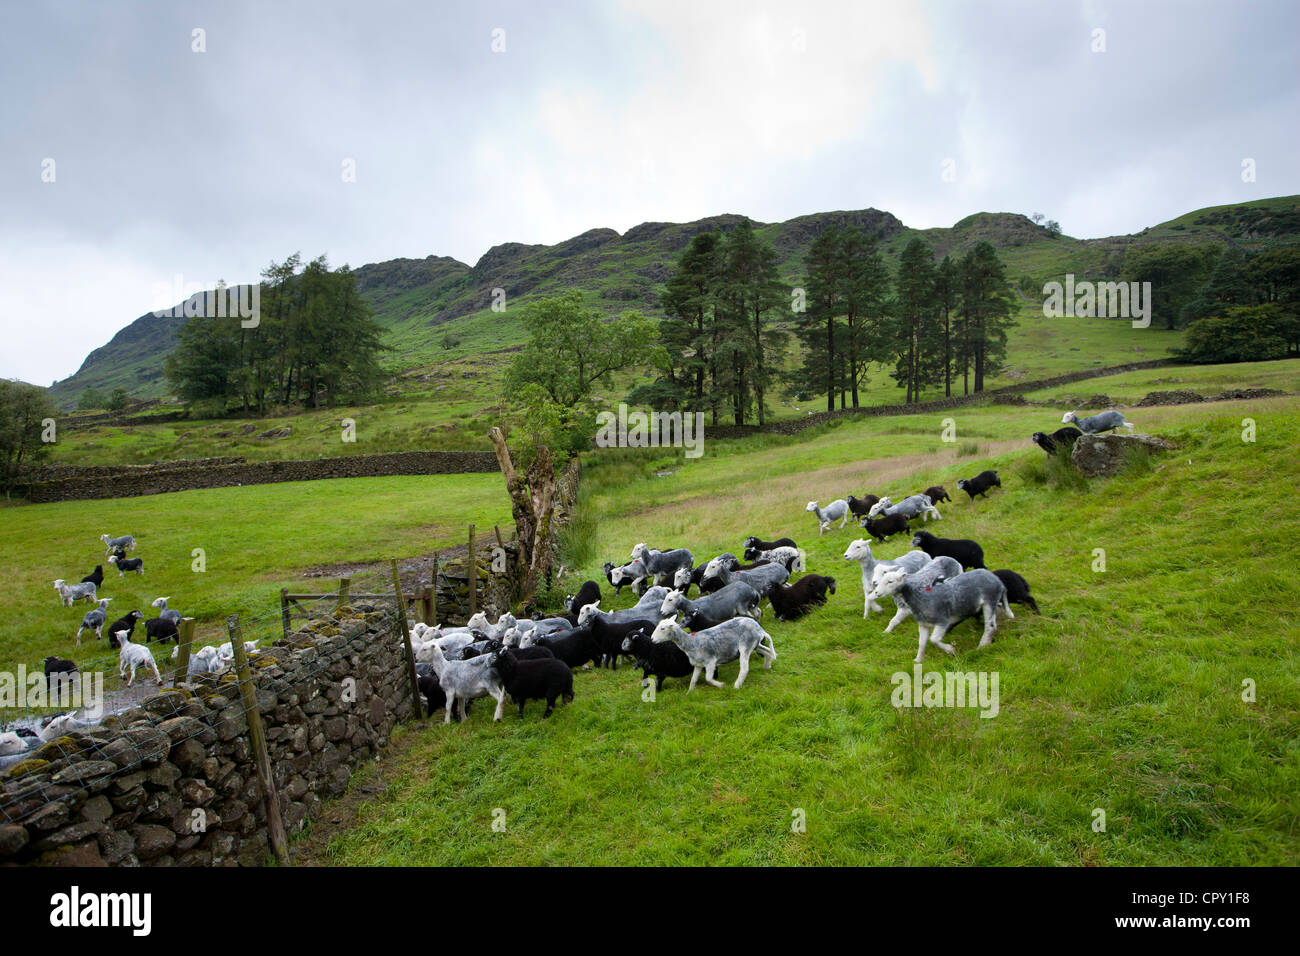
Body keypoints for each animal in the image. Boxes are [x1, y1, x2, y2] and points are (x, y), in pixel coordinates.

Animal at [868, 564, 1008, 660]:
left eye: (890, 581)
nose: (876, 592)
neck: (920, 598)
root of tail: (998, 580)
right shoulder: (923, 625)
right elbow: (922, 642)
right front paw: (918, 660)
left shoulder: (942, 621)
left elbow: (934, 639)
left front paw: (950, 650)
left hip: (989, 601)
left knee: (990, 626)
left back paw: (982, 646)